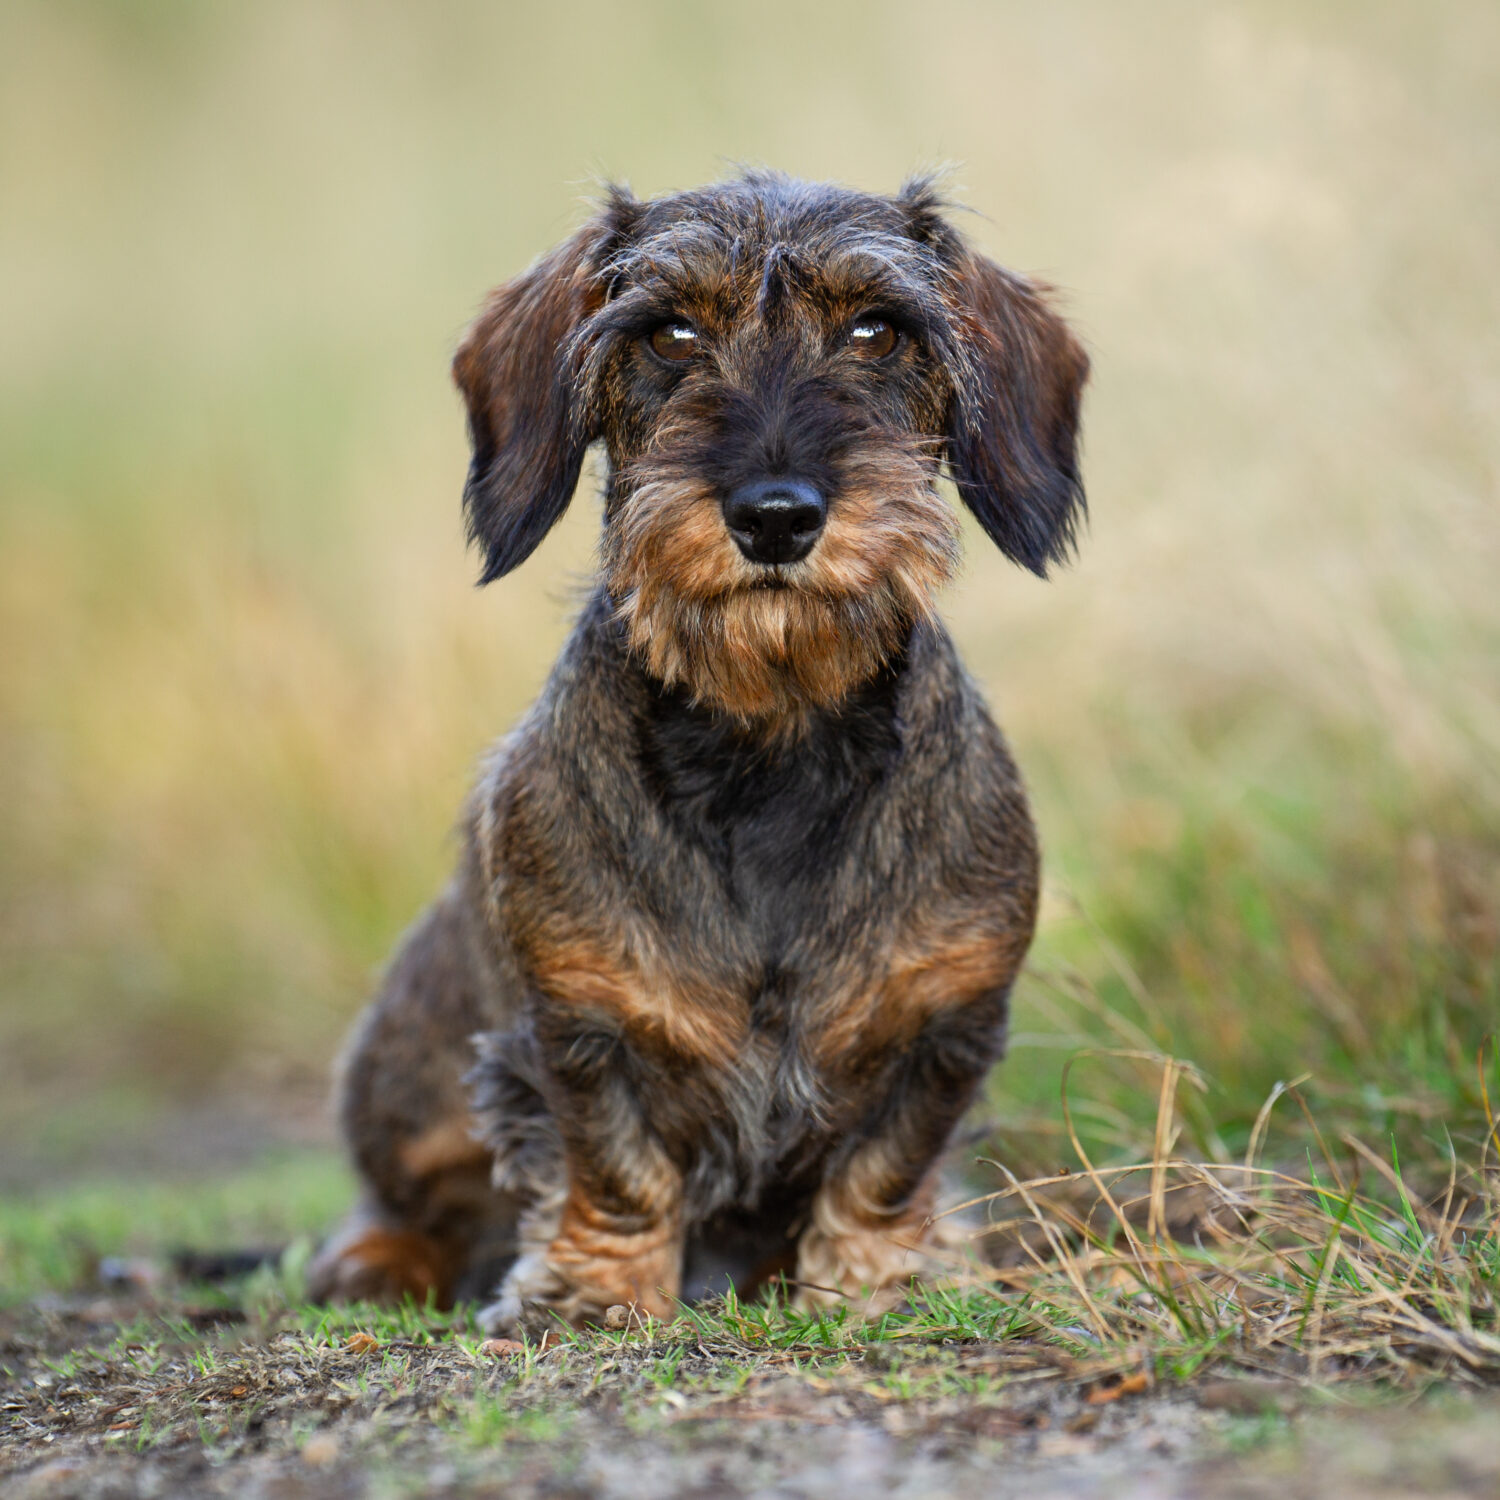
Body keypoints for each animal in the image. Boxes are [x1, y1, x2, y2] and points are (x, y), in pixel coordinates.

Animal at [304, 170, 1092, 1332]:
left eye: (878, 328)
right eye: (670, 331)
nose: (774, 516)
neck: (768, 746)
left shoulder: (947, 1015)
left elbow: (886, 1166)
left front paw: (877, 1280)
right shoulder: (576, 1021)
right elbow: (617, 1168)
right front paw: (594, 1293)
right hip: (402, 1079)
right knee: (419, 1195)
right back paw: (379, 1259)